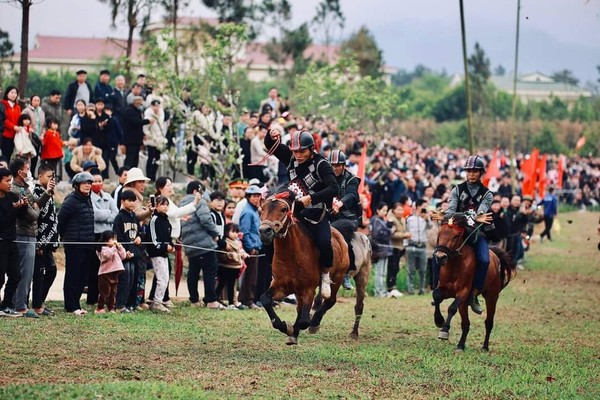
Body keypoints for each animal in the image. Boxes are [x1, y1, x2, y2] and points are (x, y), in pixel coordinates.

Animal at [258, 189, 370, 346]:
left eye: (284, 209)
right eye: (262, 209)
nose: (264, 231)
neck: (291, 256)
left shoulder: (308, 288)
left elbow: (305, 320)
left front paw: (300, 327)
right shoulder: (282, 286)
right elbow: (265, 300)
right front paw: (288, 328)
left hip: (348, 276)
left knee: (342, 302)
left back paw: (345, 330)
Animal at [432, 214, 516, 352]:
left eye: (455, 236)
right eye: (439, 234)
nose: (440, 257)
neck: (455, 265)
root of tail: (495, 256)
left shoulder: (463, 292)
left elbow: (451, 308)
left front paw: (444, 330)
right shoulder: (444, 289)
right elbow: (437, 296)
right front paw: (439, 320)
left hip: (492, 296)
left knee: (489, 322)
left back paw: (485, 347)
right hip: (466, 303)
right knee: (466, 324)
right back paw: (461, 345)